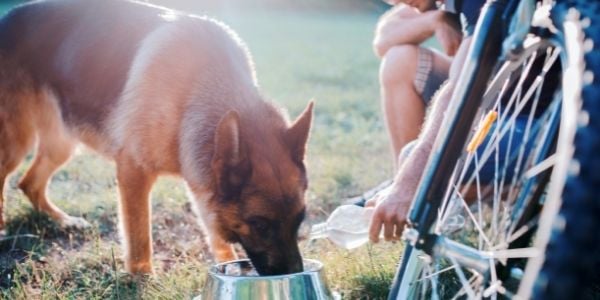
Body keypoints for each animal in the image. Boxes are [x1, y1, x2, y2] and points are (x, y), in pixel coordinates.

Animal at [0, 0, 312, 276]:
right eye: (260, 224)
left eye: (300, 219)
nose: (296, 272)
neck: (199, 86)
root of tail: (7, 19)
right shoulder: (133, 173)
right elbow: (139, 237)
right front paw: (143, 277)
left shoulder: (200, 182)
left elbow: (213, 229)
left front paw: (226, 260)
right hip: (17, 143)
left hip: (62, 144)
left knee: (30, 183)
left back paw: (63, 221)